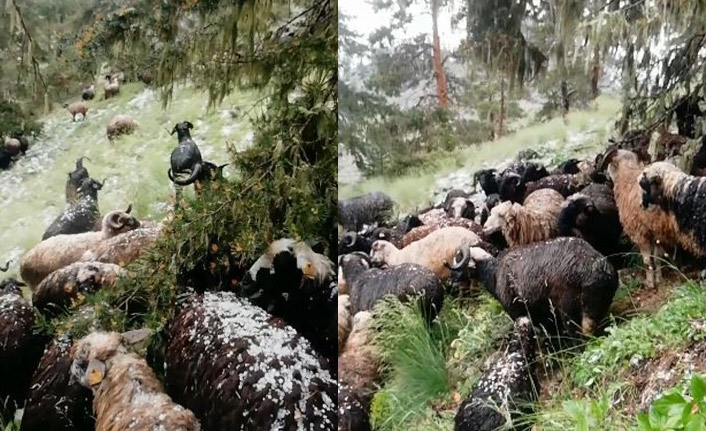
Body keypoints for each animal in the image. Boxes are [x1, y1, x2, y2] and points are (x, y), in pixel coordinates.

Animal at [452, 236, 616, 338]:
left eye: (459, 257)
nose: (453, 279)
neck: (494, 273)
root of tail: (596, 269)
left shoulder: (517, 313)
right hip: (598, 306)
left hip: (569, 309)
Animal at [596, 147, 680, 288]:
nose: (606, 177)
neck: (627, 176)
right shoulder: (656, 234)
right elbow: (657, 258)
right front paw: (659, 279)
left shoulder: (640, 232)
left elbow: (647, 261)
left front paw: (650, 283)